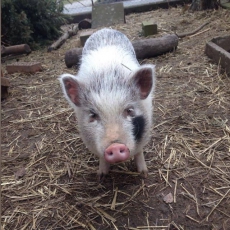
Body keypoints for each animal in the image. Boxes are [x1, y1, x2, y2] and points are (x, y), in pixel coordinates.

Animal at [59, 28, 156, 180]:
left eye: (129, 110)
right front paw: (101, 176)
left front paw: (144, 173)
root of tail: (105, 29)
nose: (115, 147)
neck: (107, 78)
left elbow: (139, 152)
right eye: (93, 115)